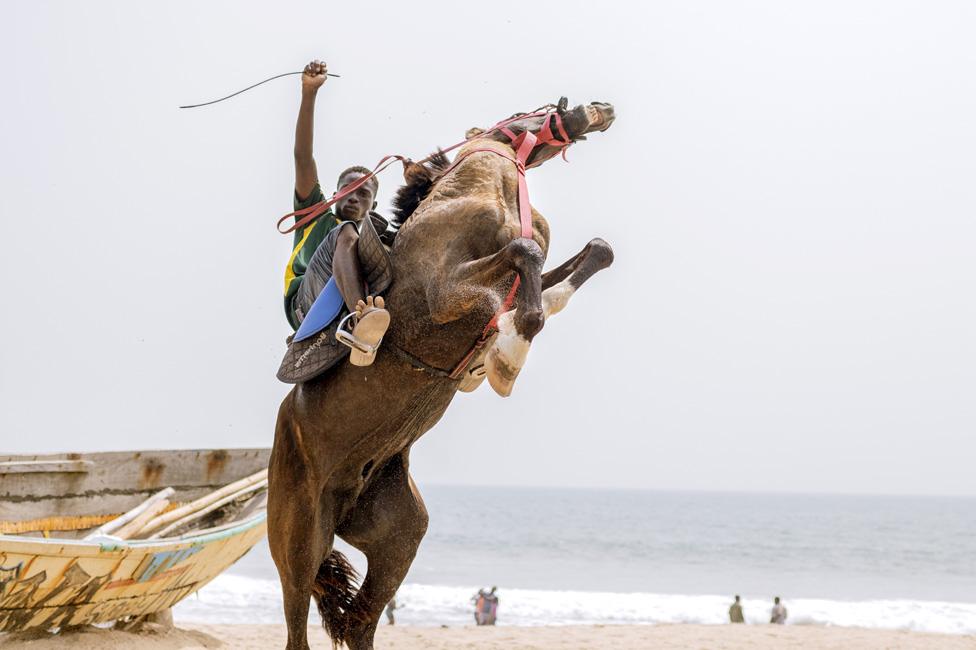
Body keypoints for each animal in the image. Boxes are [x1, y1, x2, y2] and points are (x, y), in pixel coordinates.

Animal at [270, 97, 612, 648]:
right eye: (525, 112)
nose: (597, 109)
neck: (481, 190)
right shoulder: (444, 293)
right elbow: (523, 258)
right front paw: (506, 357)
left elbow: (587, 255)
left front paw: (496, 348)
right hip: (299, 539)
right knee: (298, 618)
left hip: (399, 538)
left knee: (361, 621)